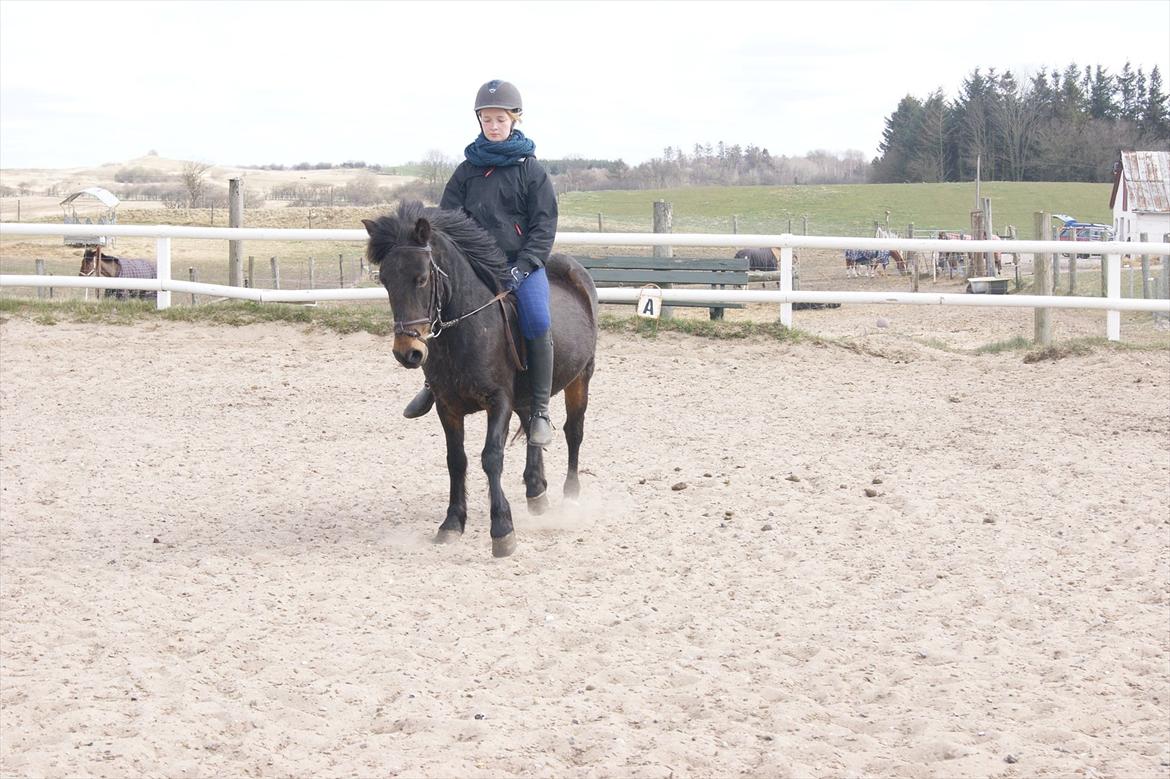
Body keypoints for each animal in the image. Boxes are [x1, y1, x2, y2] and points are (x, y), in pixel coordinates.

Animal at [362, 198, 603, 552]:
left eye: (421, 279)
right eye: (385, 281)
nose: (408, 352)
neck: (466, 327)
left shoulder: (498, 401)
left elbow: (491, 457)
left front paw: (502, 530)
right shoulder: (447, 406)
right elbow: (456, 460)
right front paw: (452, 523)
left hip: (581, 378)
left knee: (574, 431)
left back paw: (570, 496)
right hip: (526, 396)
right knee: (533, 427)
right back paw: (536, 490)